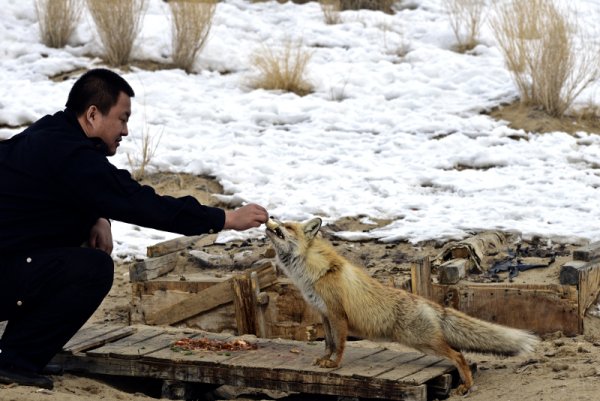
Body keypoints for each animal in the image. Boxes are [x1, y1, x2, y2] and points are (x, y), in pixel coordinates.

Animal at [264, 217, 540, 392]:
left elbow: (339, 346)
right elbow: (329, 344)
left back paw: (466, 386)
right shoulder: (324, 315)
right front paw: (325, 360)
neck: (314, 274)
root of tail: (427, 302)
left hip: (422, 341)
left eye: (286, 226)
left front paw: (334, 365)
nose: (270, 219)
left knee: (459, 355)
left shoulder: (338, 315)